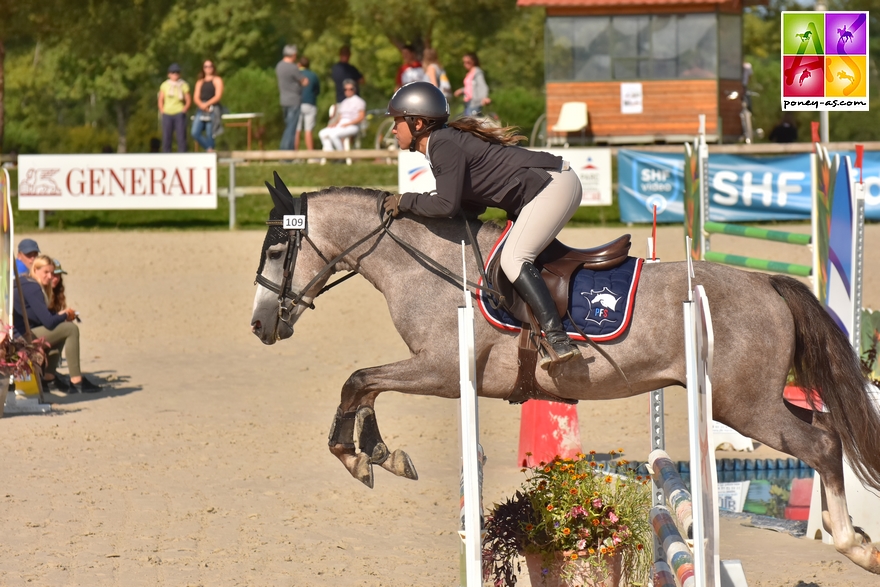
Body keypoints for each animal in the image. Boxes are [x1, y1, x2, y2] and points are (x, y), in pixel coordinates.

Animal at [251, 181, 880, 576]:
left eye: (278, 247)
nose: (260, 325)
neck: (429, 265)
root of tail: (768, 283)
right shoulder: (435, 371)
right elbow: (364, 385)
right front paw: (378, 455)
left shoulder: (442, 370)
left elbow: (358, 379)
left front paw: (359, 456)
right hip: (753, 402)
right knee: (828, 429)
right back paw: (844, 530)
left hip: (742, 405)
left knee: (821, 444)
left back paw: (852, 544)